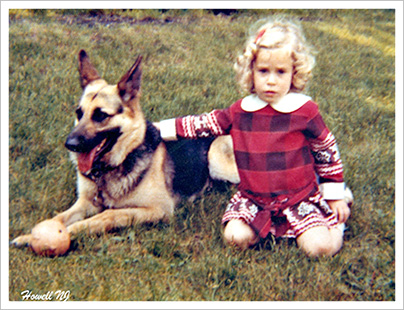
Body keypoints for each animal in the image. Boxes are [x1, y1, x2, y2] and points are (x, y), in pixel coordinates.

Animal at [11, 50, 237, 247]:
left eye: (100, 115)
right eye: (79, 113)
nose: (70, 145)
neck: (116, 163)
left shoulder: (158, 209)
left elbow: (108, 214)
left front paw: (68, 232)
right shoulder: (85, 203)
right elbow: (59, 217)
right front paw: (30, 235)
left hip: (215, 157)